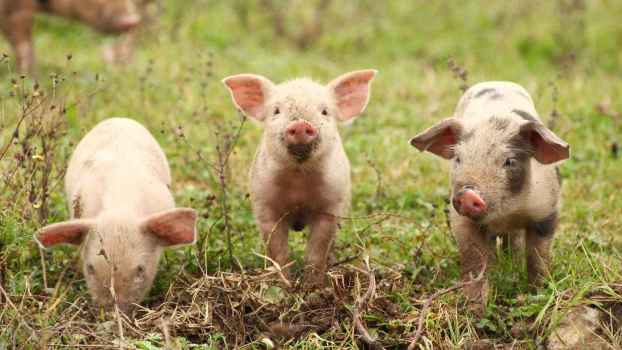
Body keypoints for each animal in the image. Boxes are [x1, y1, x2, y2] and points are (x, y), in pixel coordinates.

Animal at [225, 69, 378, 288]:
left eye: (324, 111)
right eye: (276, 111)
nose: (299, 124)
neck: (299, 181)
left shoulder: (330, 207)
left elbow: (316, 251)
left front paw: (312, 288)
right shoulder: (265, 206)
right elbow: (278, 252)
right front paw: (284, 287)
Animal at [412, 81, 572, 312]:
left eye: (510, 161)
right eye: (458, 159)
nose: (468, 194)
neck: (506, 214)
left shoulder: (547, 210)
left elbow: (538, 258)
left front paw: (538, 293)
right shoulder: (461, 220)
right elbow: (474, 262)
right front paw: (476, 309)